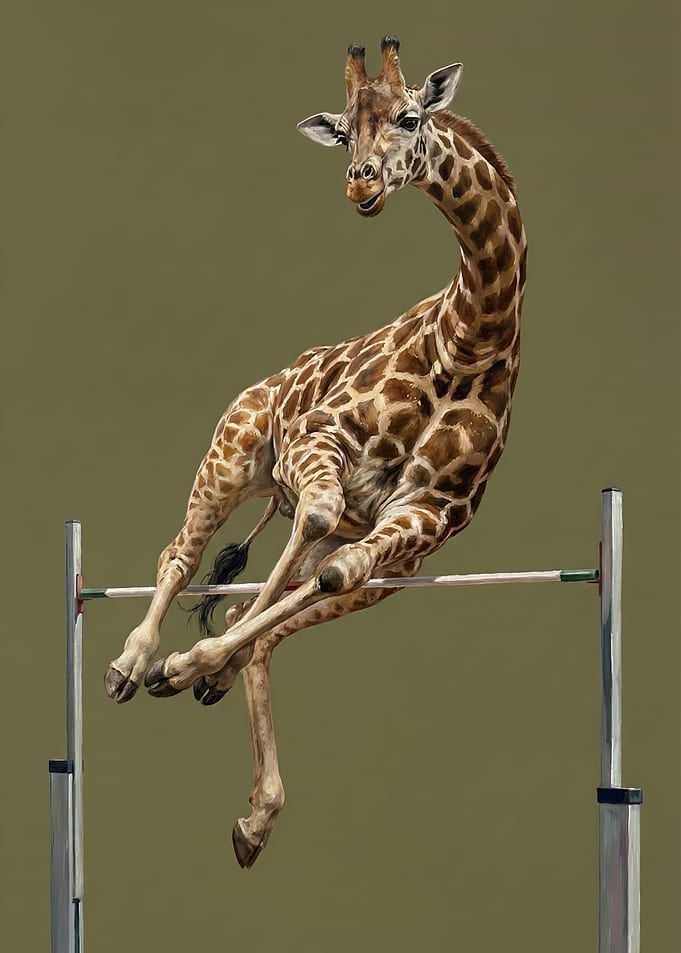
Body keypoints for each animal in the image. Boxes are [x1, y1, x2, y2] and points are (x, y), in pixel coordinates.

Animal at [105, 36, 527, 868]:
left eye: (408, 117)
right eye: (342, 128)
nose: (359, 181)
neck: (473, 338)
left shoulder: (422, 522)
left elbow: (323, 577)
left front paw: (203, 665)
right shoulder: (319, 442)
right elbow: (293, 543)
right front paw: (177, 662)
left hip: (382, 557)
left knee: (295, 585)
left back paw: (246, 787)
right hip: (234, 454)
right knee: (180, 555)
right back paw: (134, 661)